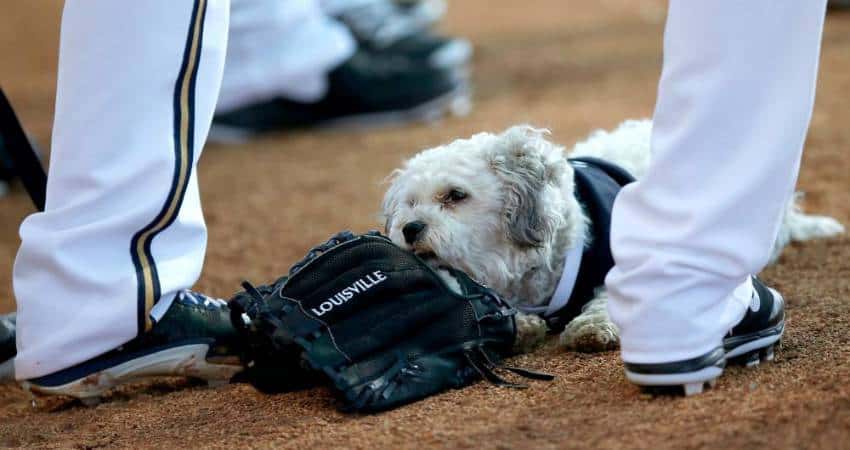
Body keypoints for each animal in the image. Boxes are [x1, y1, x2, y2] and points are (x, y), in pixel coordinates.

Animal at [382, 121, 840, 354]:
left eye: (455, 195)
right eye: (410, 203)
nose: (410, 228)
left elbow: (610, 299)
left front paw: (592, 327)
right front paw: (520, 324)